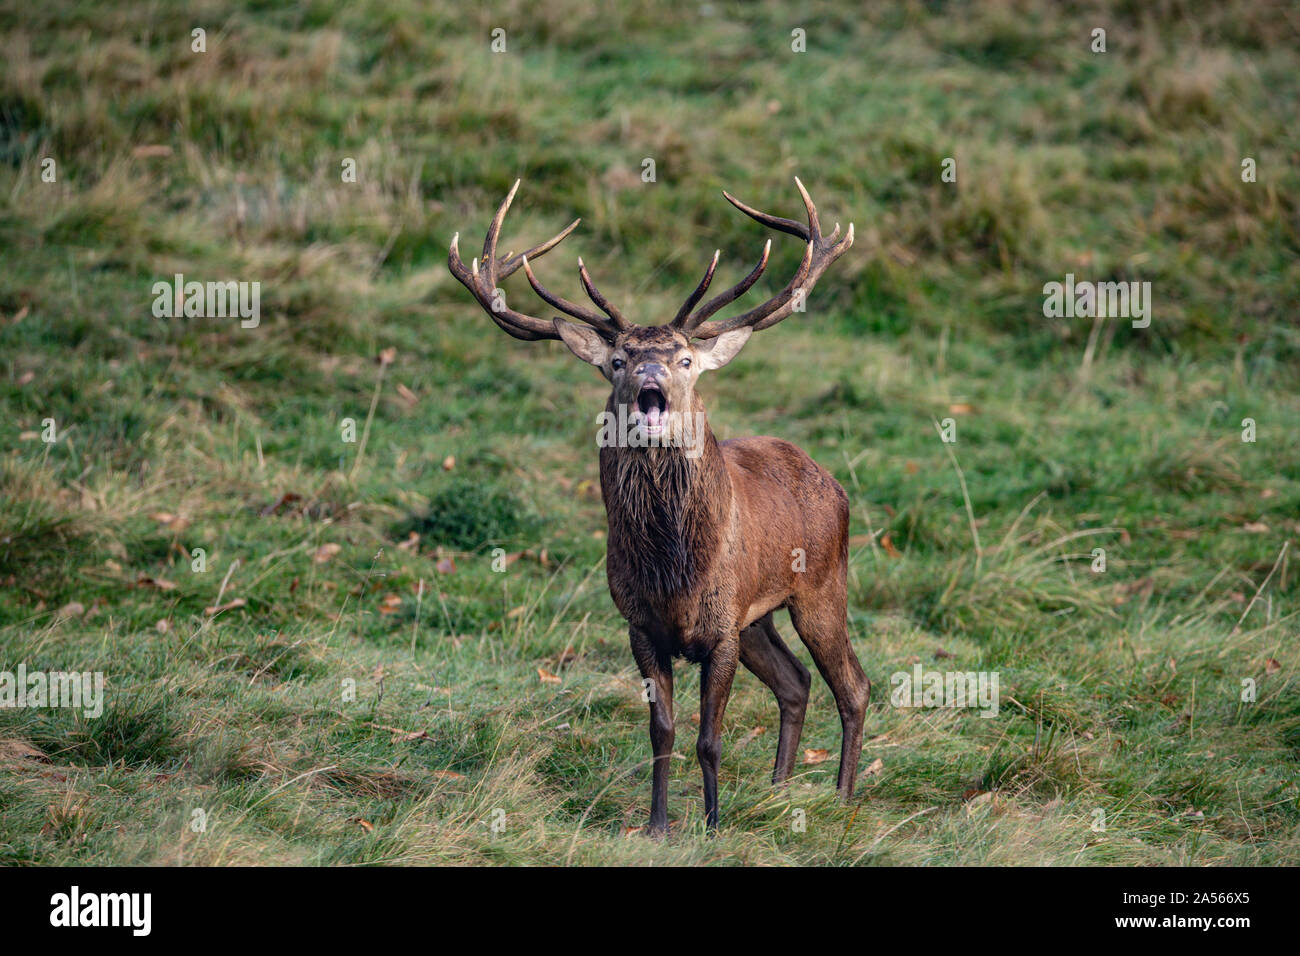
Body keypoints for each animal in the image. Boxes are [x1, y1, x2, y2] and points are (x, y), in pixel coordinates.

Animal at [448, 178, 870, 834]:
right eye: (617, 361)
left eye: (685, 360)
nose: (652, 381)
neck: (675, 573)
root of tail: (830, 480)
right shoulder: (641, 625)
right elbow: (663, 733)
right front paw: (658, 826)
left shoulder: (720, 630)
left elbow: (709, 739)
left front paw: (713, 824)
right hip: (758, 616)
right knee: (796, 682)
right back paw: (778, 788)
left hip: (822, 586)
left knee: (852, 685)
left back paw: (843, 797)